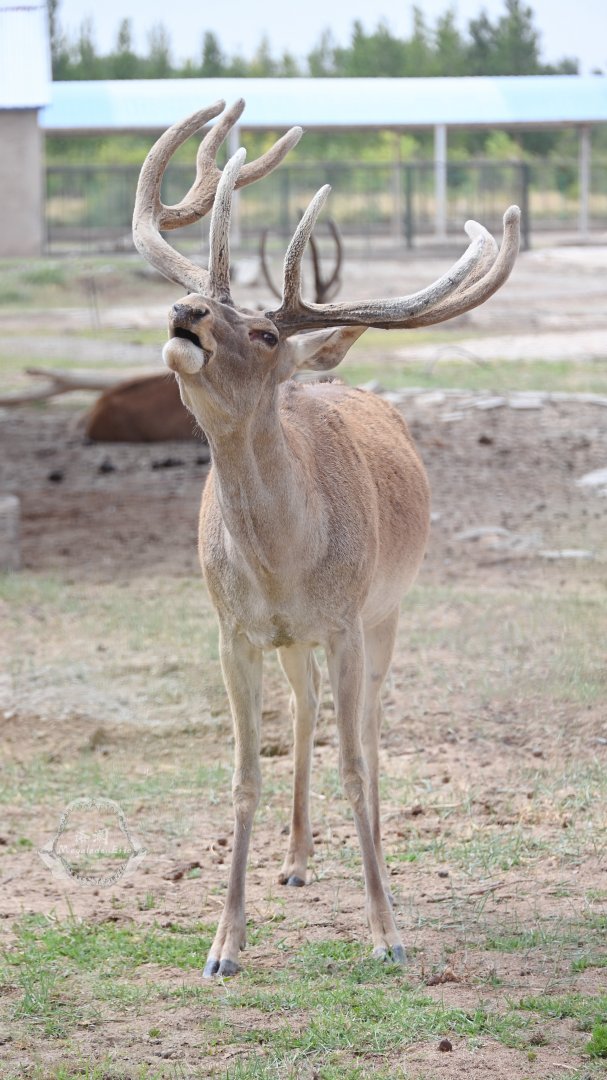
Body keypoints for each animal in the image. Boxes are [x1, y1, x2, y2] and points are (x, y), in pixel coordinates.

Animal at [132, 98, 520, 978]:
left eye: (268, 335)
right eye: (202, 303)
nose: (184, 313)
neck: (283, 563)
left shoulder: (346, 619)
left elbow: (352, 761)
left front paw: (385, 931)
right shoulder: (233, 631)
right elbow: (245, 774)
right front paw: (223, 945)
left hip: (386, 613)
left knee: (368, 731)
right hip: (296, 642)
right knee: (305, 709)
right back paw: (297, 859)